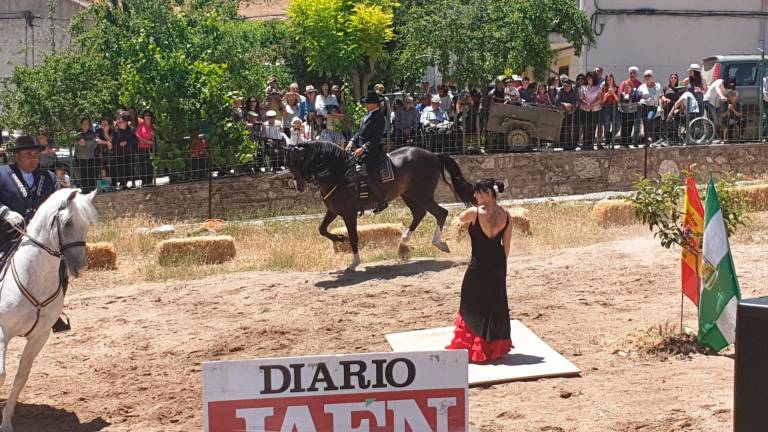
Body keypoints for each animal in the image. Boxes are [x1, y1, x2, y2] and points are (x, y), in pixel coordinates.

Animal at [0, 190, 97, 432]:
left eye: (88, 224)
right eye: (68, 222)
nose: (80, 267)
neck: (34, 277)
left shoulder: (39, 337)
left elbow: (20, 376)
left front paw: (6, 421)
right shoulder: (1, 332)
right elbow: (1, 375)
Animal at [284, 142, 476, 270]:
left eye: (299, 159)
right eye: (288, 163)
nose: (298, 186)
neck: (338, 173)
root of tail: (434, 155)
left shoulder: (349, 213)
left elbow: (353, 237)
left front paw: (354, 262)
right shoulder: (333, 210)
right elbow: (322, 229)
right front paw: (340, 238)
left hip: (421, 194)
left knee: (440, 212)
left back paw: (438, 243)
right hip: (409, 194)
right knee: (419, 214)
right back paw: (403, 243)